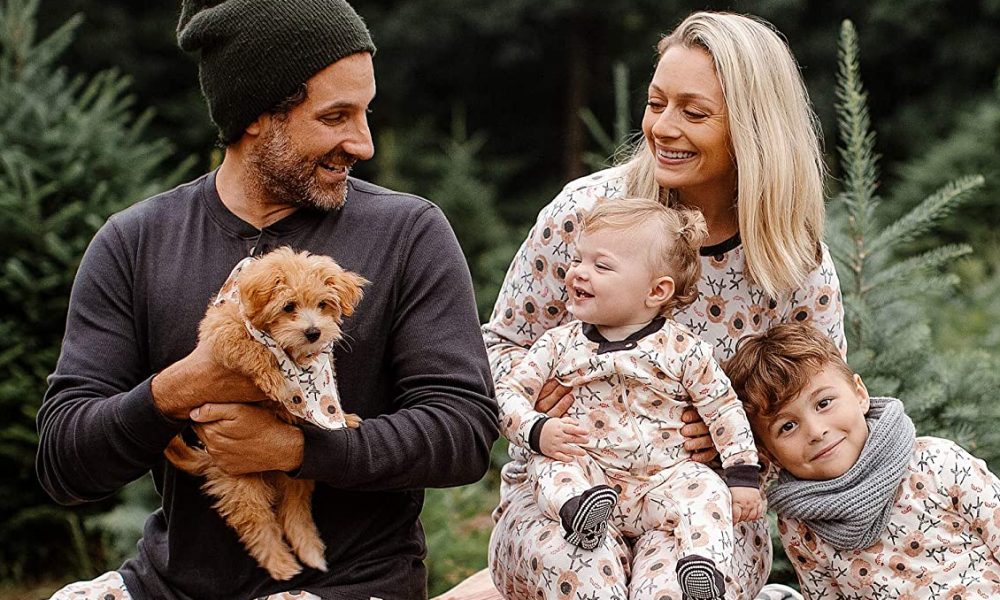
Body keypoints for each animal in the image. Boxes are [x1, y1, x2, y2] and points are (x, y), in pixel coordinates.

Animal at [166, 247, 370, 580]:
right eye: (289, 306)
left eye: (323, 304)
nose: (313, 333)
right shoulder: (224, 333)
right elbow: (254, 351)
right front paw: (275, 380)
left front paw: (338, 415)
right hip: (243, 487)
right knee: (258, 528)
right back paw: (282, 565)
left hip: (297, 475)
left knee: (294, 514)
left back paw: (310, 552)